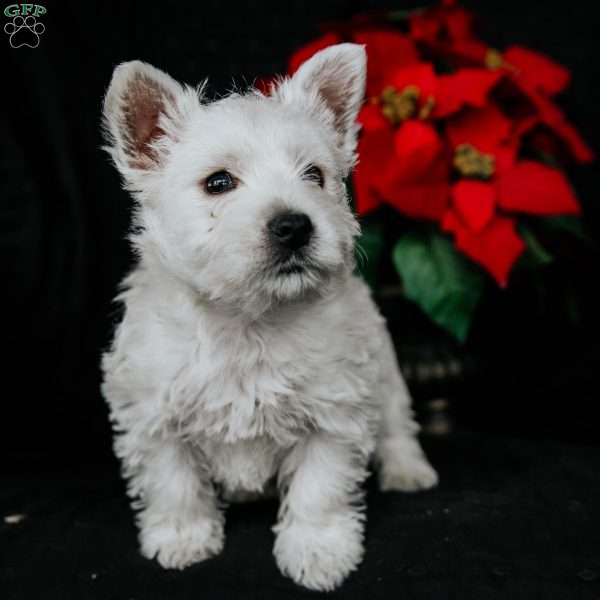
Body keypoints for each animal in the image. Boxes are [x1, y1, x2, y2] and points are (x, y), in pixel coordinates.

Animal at [102, 43, 436, 592]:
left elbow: (319, 490)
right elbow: (174, 483)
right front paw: (182, 539)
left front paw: (319, 553)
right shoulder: (155, 415)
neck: (247, 320)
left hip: (385, 373)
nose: (295, 225)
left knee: (396, 425)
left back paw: (408, 471)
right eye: (218, 182)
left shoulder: (333, 414)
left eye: (315, 176)